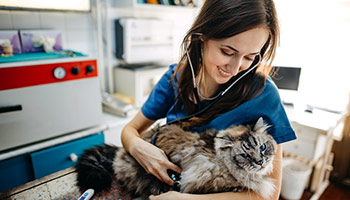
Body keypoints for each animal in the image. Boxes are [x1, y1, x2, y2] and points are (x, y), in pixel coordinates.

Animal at [75, 117, 278, 198]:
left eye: (262, 147)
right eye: (245, 155)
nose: (260, 162)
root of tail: (121, 151)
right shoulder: (197, 181)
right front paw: (237, 186)